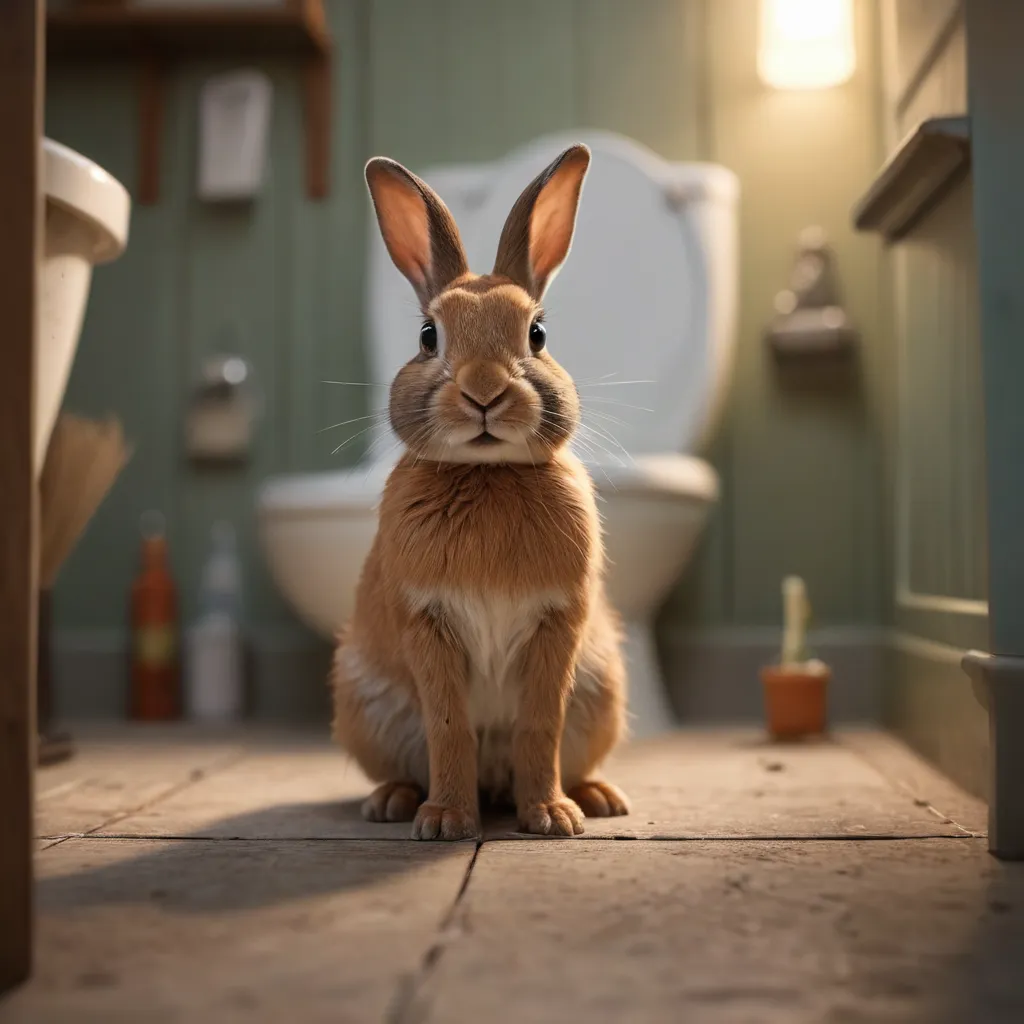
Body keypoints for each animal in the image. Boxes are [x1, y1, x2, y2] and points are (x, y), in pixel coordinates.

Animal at [331, 143, 630, 841]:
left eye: (538, 335)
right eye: (428, 337)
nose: (484, 392)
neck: (489, 473)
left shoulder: (557, 624)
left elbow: (539, 725)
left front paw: (551, 818)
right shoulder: (427, 624)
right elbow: (449, 727)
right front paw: (445, 823)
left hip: (601, 691)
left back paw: (595, 797)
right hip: (366, 704)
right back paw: (393, 801)